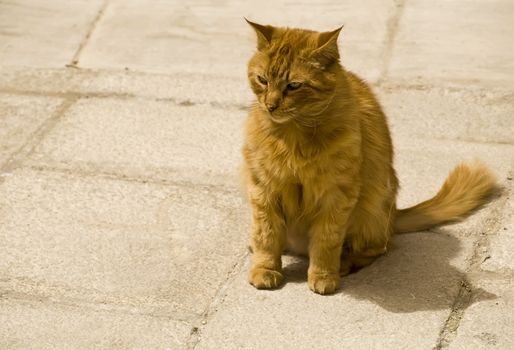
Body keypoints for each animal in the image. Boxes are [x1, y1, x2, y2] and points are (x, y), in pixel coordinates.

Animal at [241, 18, 496, 292]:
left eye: (294, 85)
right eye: (262, 80)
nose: (270, 105)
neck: (292, 137)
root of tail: (394, 214)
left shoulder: (337, 195)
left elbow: (325, 241)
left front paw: (323, 275)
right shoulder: (263, 189)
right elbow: (266, 236)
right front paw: (265, 268)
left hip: (371, 208)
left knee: (374, 250)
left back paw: (343, 264)